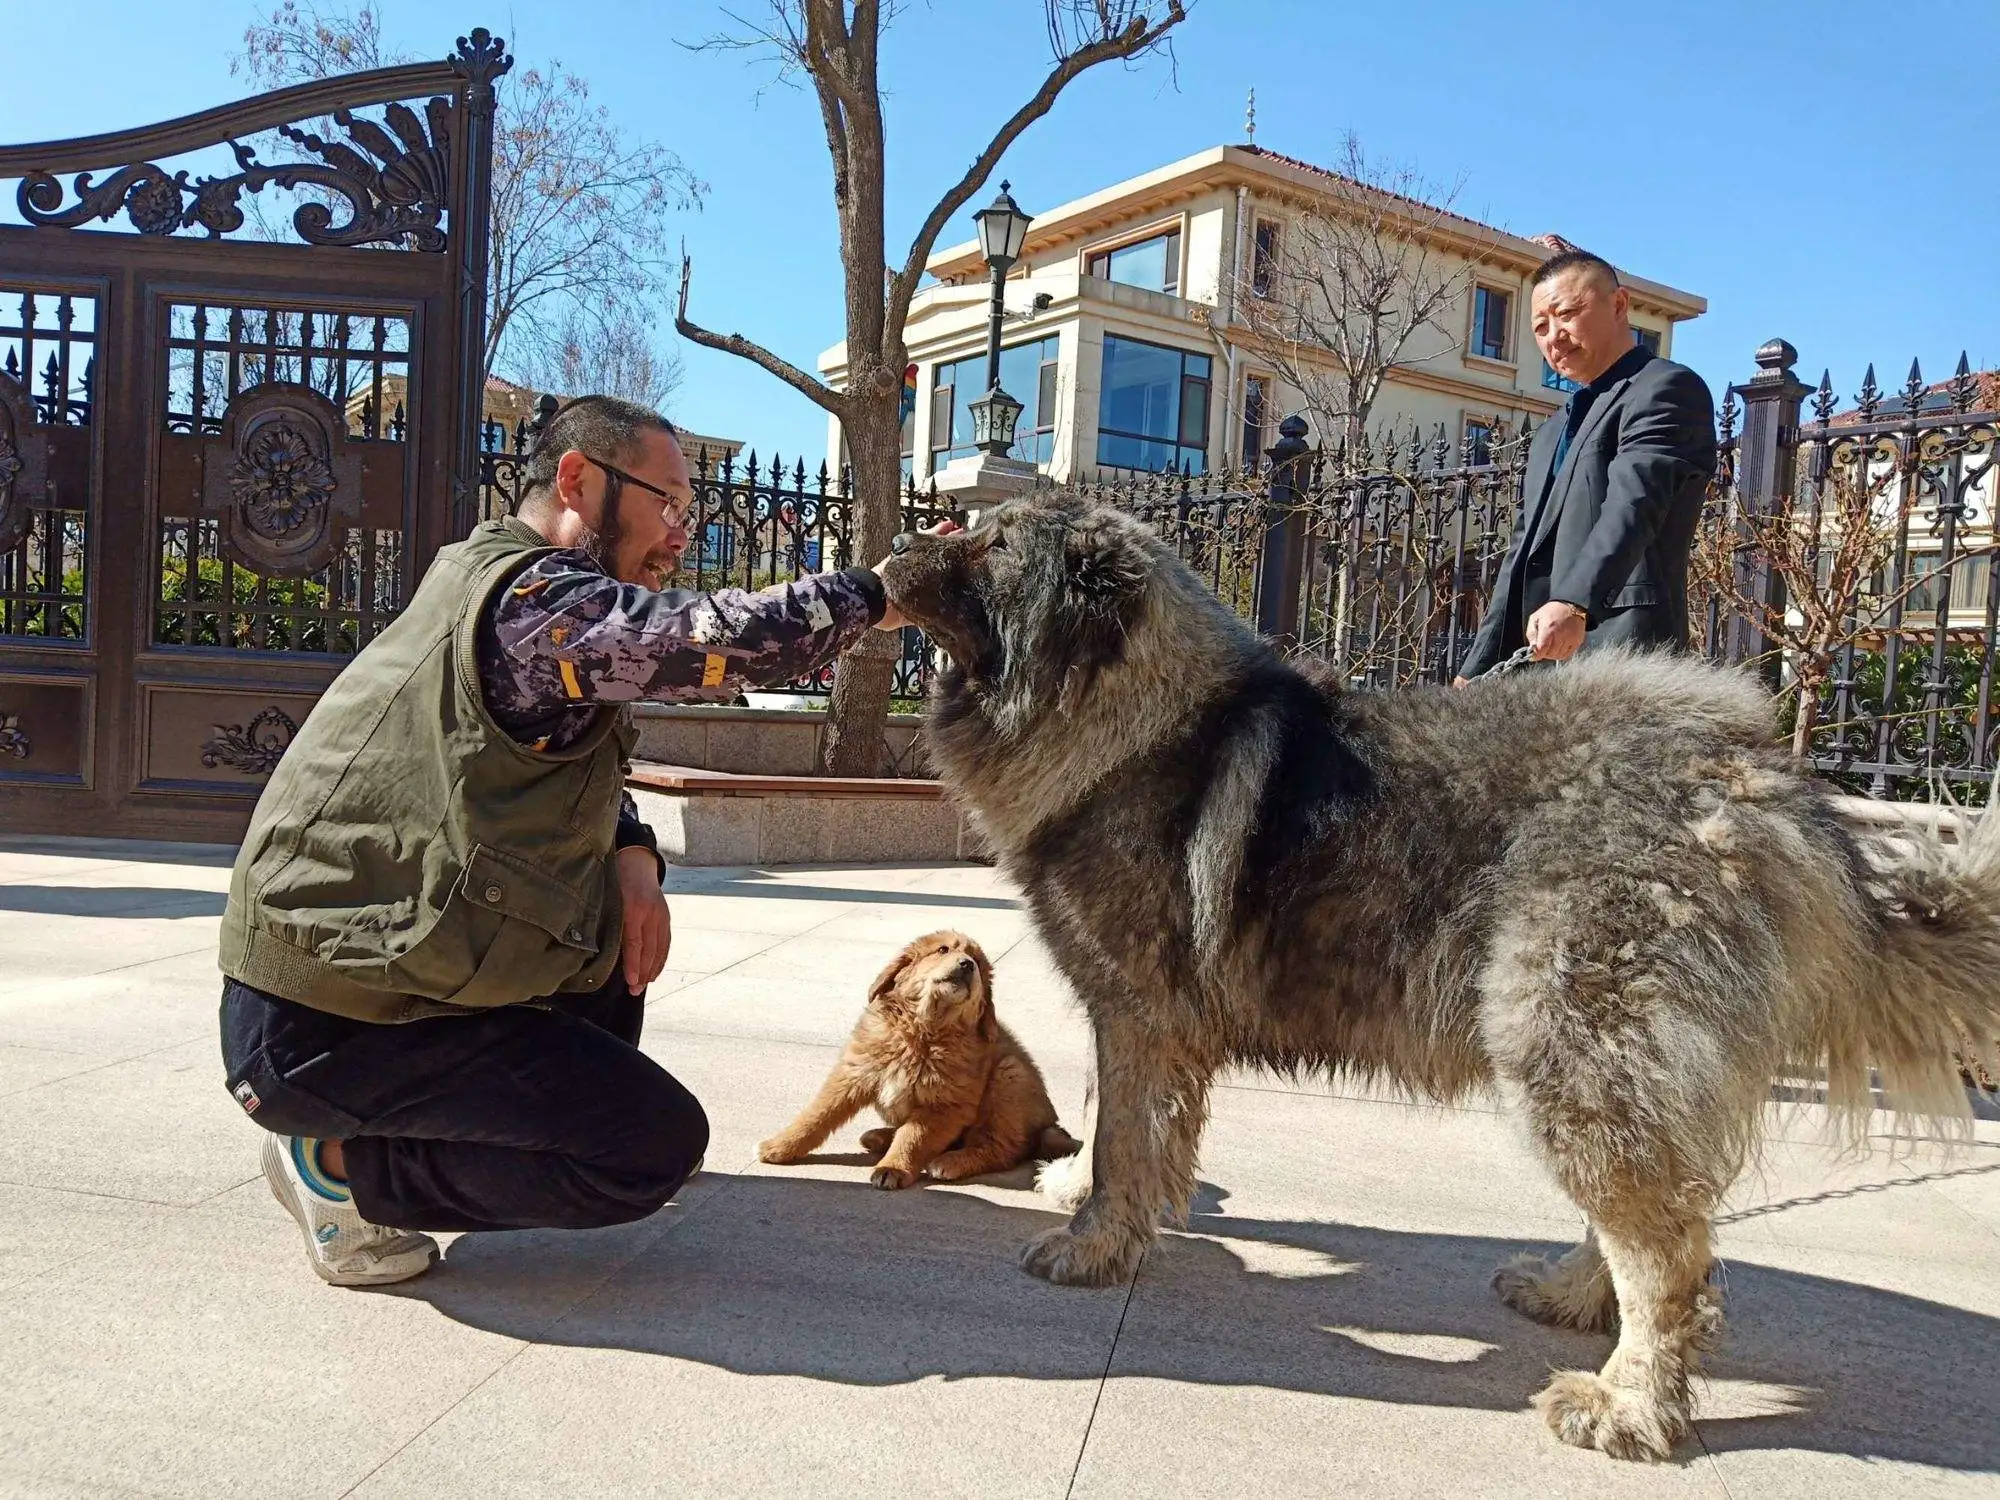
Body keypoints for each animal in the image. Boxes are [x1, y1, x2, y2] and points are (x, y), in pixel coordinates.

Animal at [760, 936, 1080, 1192]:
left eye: (977, 961)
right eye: (943, 950)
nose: (967, 965)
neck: (921, 1032)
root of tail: (1050, 1127)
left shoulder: (946, 1105)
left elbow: (913, 1138)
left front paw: (892, 1168)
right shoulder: (853, 1073)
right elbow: (816, 1116)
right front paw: (779, 1146)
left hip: (1009, 1075)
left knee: (1003, 1148)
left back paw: (950, 1161)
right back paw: (880, 1136)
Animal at [884, 496, 2000, 1472]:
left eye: (989, 547)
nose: (893, 545)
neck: (1129, 714)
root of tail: (1766, 785)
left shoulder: (1137, 1009)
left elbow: (1125, 1135)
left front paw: (1094, 1241)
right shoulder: (1143, 1018)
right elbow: (1132, 1127)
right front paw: (1089, 1192)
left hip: (1565, 1032)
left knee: (1669, 1255)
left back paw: (1628, 1404)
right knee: (1650, 1214)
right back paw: (1571, 1296)